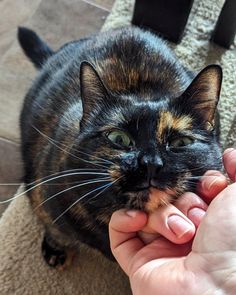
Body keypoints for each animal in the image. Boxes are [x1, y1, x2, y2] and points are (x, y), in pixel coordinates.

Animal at [18, 26, 221, 268]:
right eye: (119, 138)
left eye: (180, 143)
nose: (150, 163)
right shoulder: (43, 196)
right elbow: (55, 229)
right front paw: (55, 248)